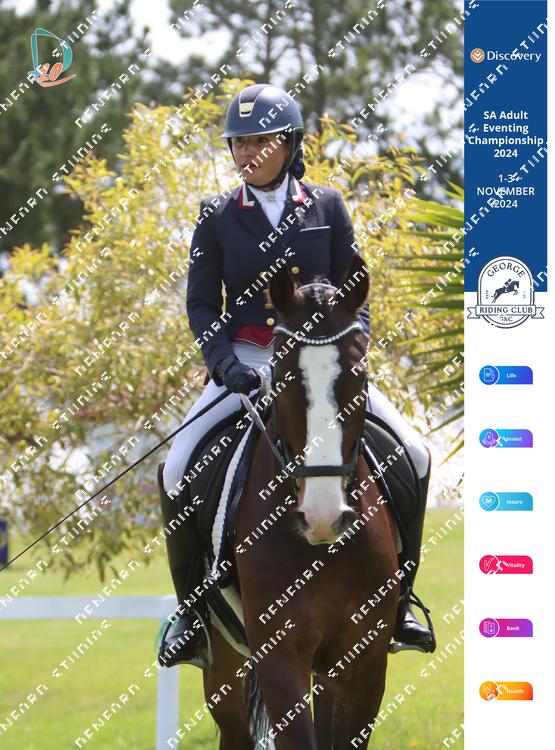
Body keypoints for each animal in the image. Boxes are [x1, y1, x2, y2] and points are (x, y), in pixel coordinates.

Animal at [202, 253, 400, 749]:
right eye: (283, 377)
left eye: (358, 376)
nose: (323, 518)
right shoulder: (279, 658)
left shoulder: (364, 662)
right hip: (224, 668)